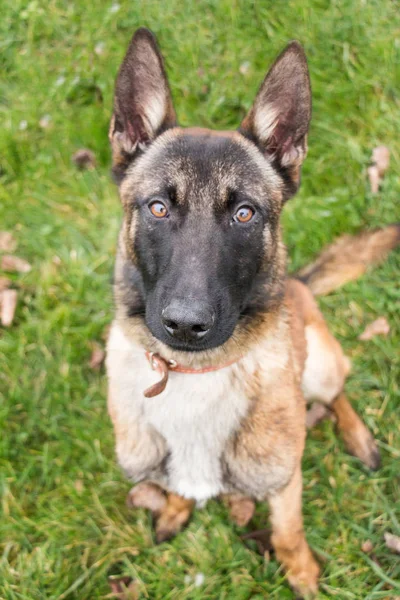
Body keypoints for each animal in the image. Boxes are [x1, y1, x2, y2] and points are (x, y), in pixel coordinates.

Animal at [106, 28, 400, 596]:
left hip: (322, 364)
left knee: (338, 393)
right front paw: (174, 510)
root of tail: (298, 285)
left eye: (244, 214)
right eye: (158, 208)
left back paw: (359, 439)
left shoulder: (284, 483)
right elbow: (177, 488)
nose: (186, 325)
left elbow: (287, 534)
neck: (196, 376)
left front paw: (302, 574)